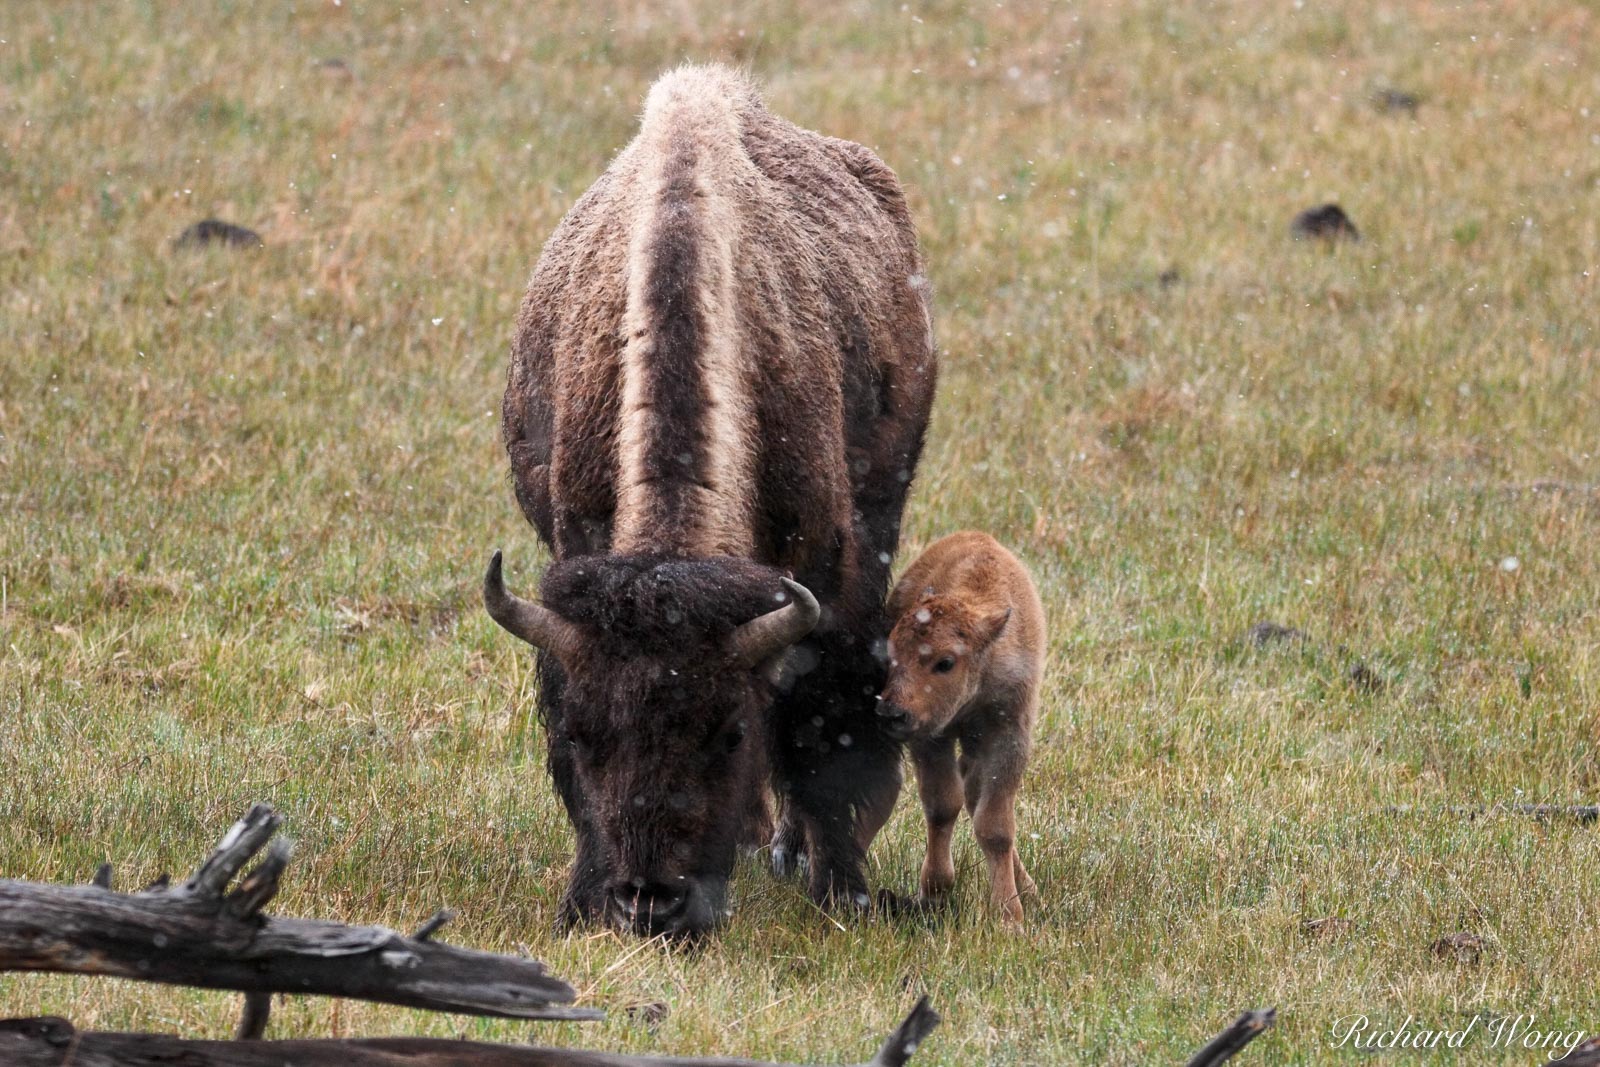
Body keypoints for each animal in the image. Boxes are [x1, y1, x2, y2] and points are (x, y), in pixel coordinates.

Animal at [486, 64, 934, 934]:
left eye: (727, 734)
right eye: (583, 733)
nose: (650, 901)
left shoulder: (829, 578)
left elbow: (824, 732)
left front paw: (842, 892)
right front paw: (581, 901)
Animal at [876, 534, 1049, 927]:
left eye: (945, 662)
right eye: (890, 655)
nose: (892, 712)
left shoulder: (1009, 736)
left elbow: (996, 826)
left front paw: (1009, 915)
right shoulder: (930, 738)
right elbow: (943, 806)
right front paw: (935, 890)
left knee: (976, 797)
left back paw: (1031, 892)